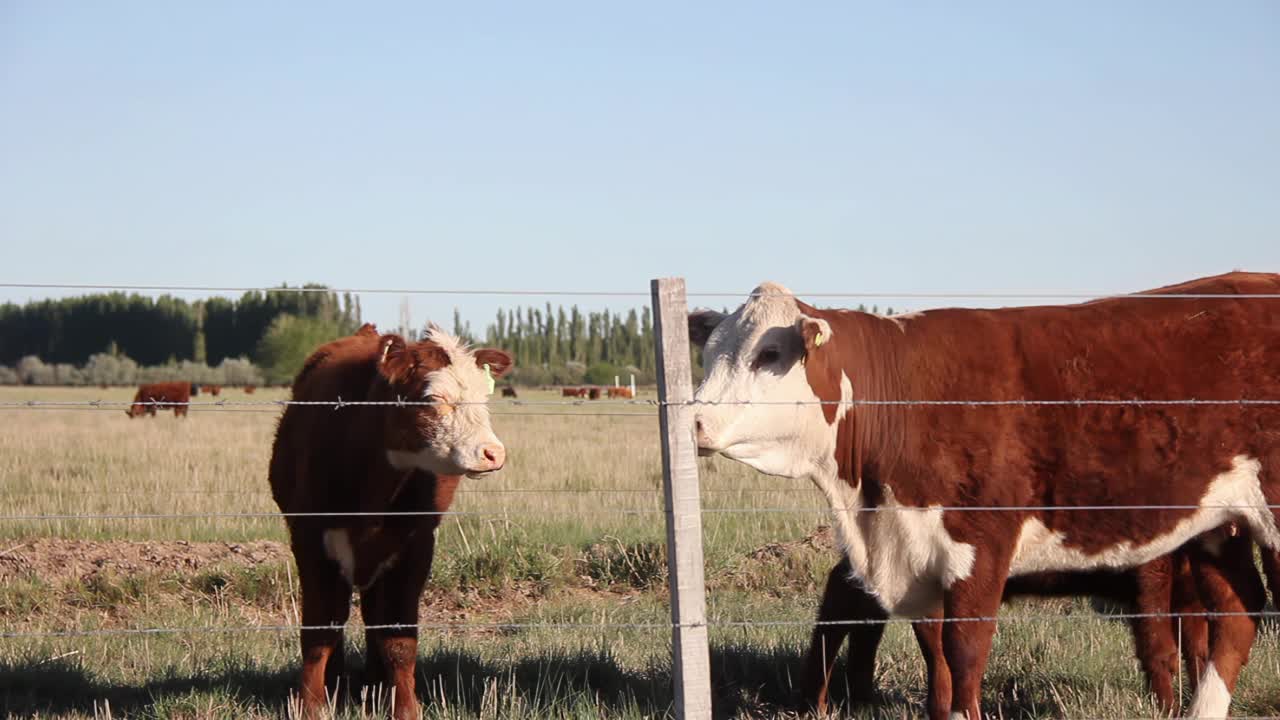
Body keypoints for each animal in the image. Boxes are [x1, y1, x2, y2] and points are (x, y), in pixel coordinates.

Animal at [271, 320, 514, 717]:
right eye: (432, 399)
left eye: (484, 396)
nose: (492, 453)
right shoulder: (309, 540)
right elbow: (320, 630)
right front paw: (312, 705)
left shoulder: (415, 545)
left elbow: (398, 638)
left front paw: (404, 707)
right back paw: (339, 684)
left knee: (373, 617)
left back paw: (375, 684)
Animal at [691, 270, 1280, 717]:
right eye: (711, 352)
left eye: (769, 353)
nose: (692, 420)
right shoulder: (918, 553)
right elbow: (939, 664)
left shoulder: (981, 546)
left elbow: (965, 655)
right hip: (1218, 527)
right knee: (1237, 612)